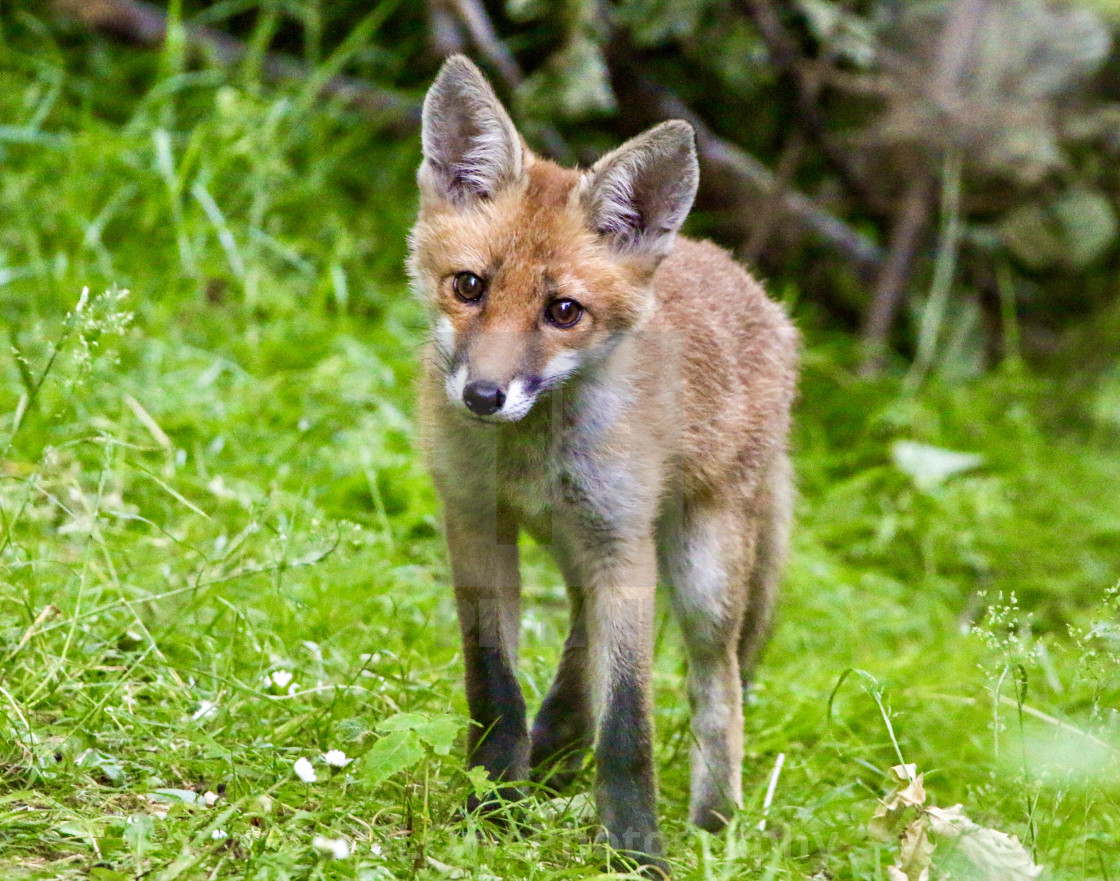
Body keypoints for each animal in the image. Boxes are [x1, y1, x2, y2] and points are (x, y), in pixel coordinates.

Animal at [407, 56, 801, 873]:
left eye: (564, 311)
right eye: (469, 286)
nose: (484, 395)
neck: (528, 459)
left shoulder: (622, 548)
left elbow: (630, 726)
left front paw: (636, 849)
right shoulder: (476, 523)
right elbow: (495, 686)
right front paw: (493, 805)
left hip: (699, 566)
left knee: (718, 686)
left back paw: (716, 822)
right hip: (586, 545)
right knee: (583, 641)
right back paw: (555, 749)